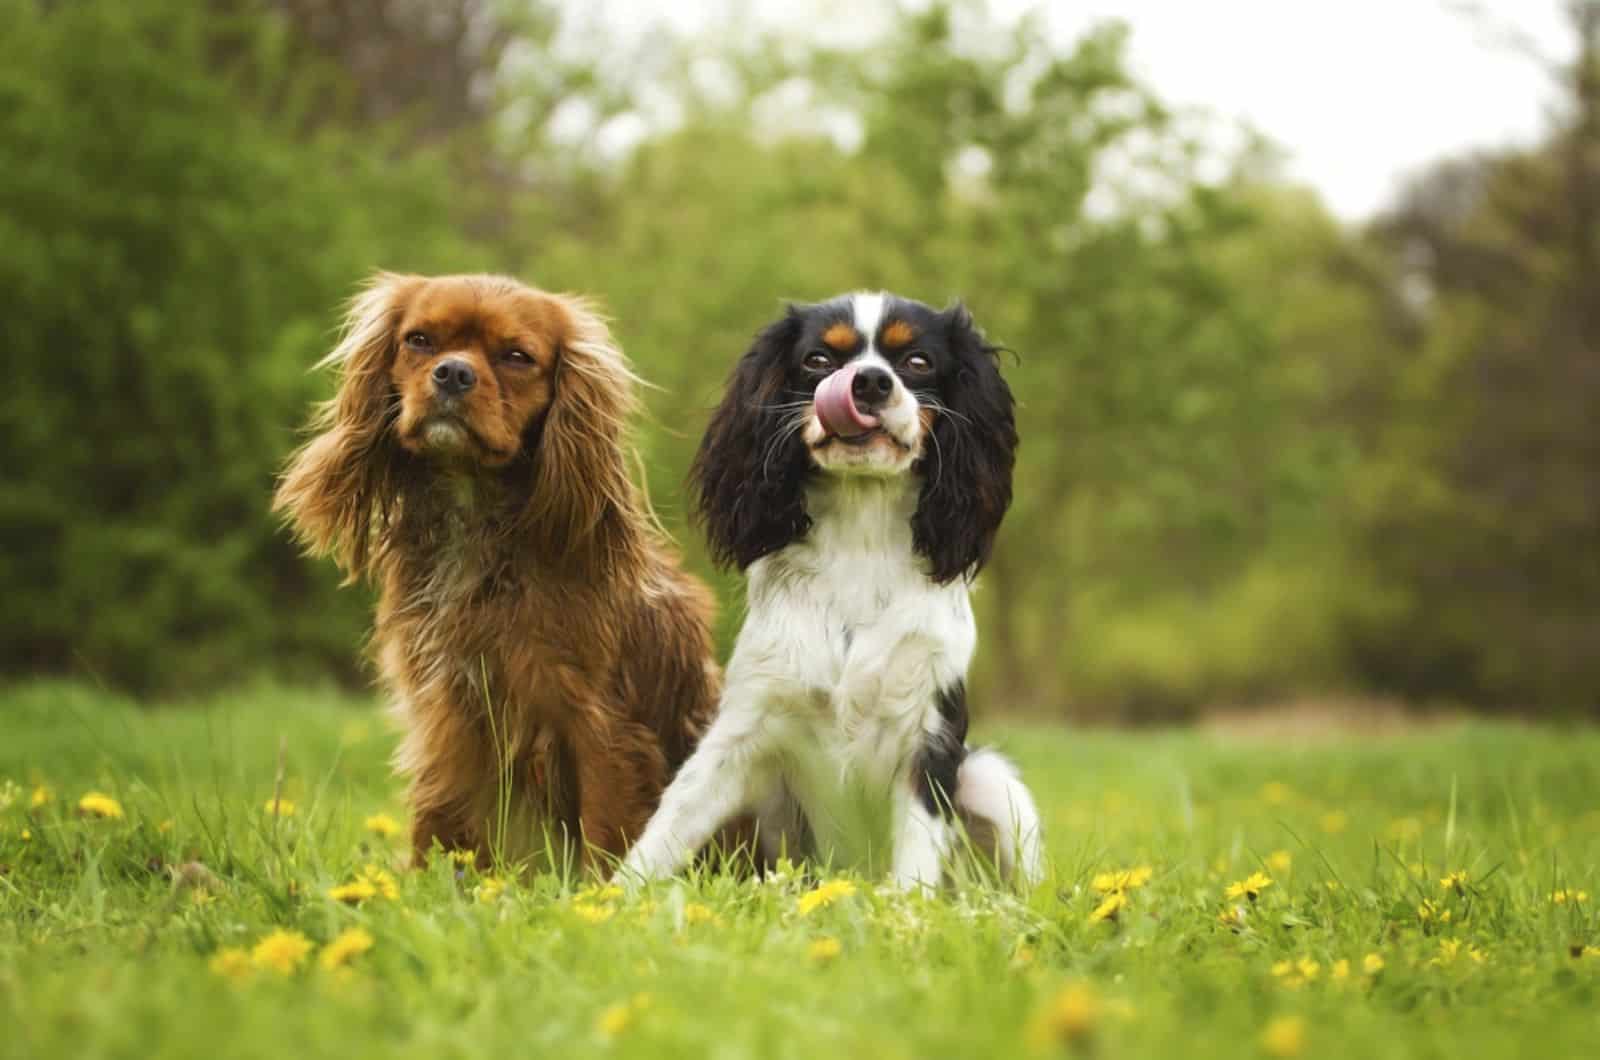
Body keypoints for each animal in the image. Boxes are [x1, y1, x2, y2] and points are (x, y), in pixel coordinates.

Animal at [276, 272, 720, 871]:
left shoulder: (601, 725)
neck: (474, 517)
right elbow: (435, 817)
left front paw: (601, 893)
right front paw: (420, 887)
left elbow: (606, 830)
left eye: (516, 357)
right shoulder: (446, 715)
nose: (453, 372)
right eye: (419, 341)